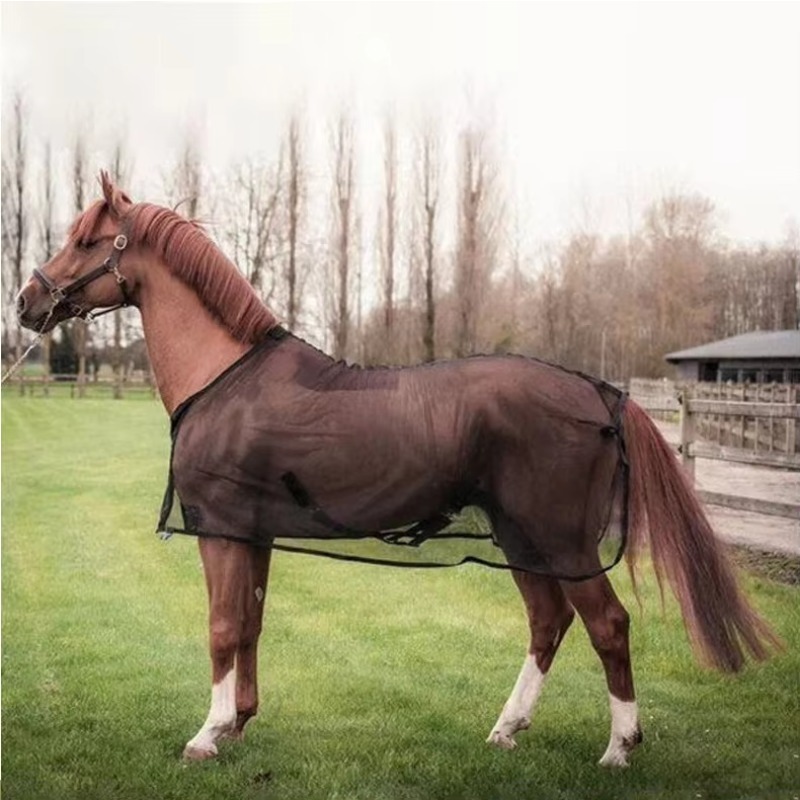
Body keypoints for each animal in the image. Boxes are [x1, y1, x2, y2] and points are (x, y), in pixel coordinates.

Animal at [16, 172, 779, 767]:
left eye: (86, 240)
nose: (28, 301)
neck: (225, 376)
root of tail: (599, 391)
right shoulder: (254, 535)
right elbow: (252, 623)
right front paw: (238, 724)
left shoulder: (222, 531)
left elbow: (223, 628)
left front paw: (207, 735)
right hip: (521, 538)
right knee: (548, 622)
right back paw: (506, 730)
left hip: (560, 540)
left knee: (608, 626)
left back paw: (619, 747)